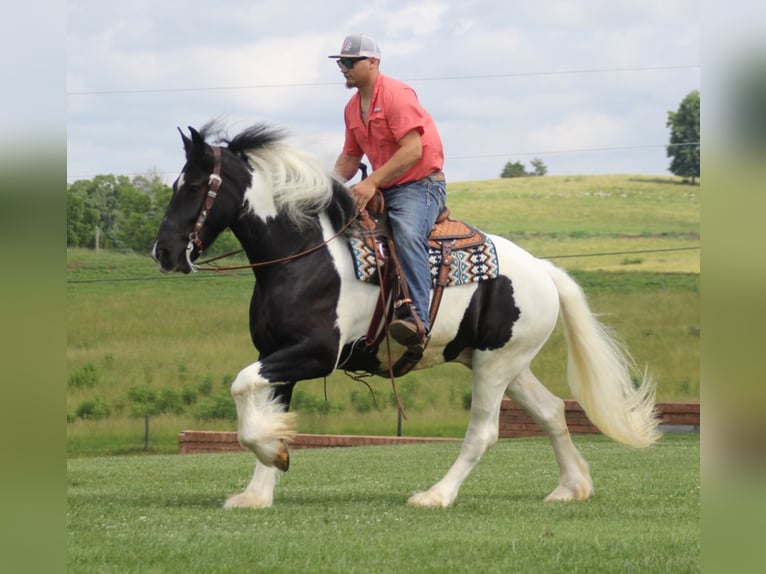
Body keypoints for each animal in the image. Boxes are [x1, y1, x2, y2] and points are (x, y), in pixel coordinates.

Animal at [152, 120, 660, 508]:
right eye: (176, 185)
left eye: (193, 186)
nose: (163, 252)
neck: (302, 256)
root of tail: (542, 271)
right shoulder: (277, 354)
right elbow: (266, 407)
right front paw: (258, 490)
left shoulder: (313, 354)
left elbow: (241, 387)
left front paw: (271, 455)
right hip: (504, 362)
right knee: (552, 411)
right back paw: (570, 487)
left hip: (495, 365)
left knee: (484, 432)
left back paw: (436, 495)